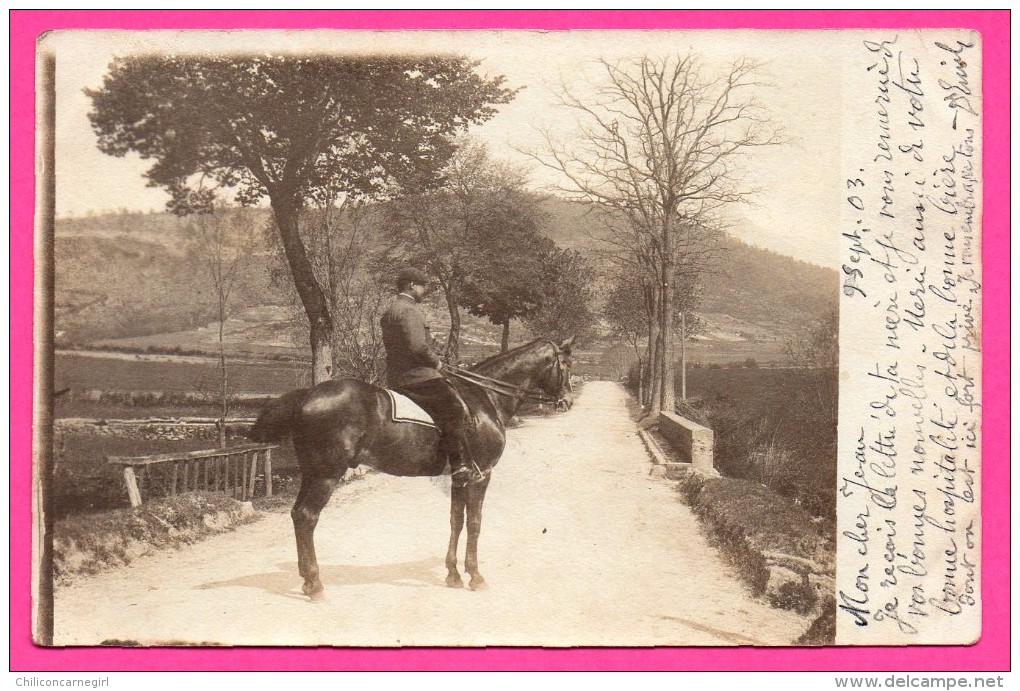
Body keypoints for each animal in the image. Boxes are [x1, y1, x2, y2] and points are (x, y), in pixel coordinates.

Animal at [247, 336, 575, 596]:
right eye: (567, 365)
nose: (568, 402)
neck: (484, 397)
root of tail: (307, 395)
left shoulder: (460, 477)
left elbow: (456, 520)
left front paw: (453, 574)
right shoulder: (482, 474)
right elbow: (475, 522)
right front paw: (475, 576)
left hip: (311, 473)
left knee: (296, 515)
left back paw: (306, 579)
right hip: (326, 475)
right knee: (307, 516)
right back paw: (315, 584)